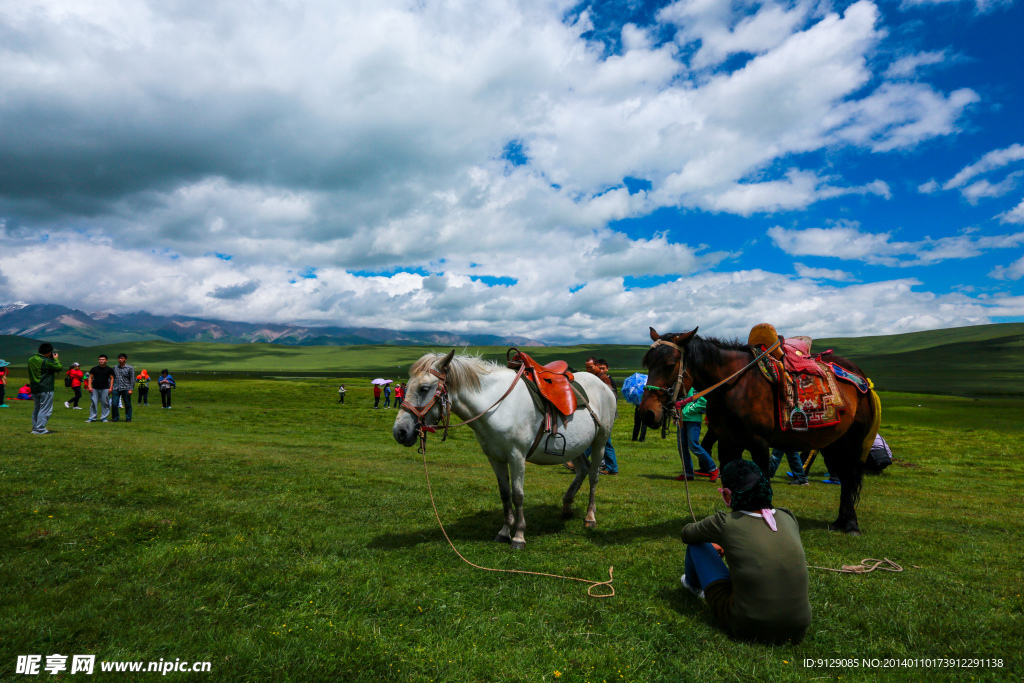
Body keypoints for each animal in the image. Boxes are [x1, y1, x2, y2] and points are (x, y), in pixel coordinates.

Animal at [391, 352, 614, 548]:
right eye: (407, 385)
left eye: (424, 388)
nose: (400, 432)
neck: (495, 406)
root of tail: (604, 386)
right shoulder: (495, 458)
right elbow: (505, 494)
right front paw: (505, 532)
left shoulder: (517, 457)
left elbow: (518, 495)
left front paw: (519, 537)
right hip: (575, 447)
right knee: (582, 469)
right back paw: (566, 507)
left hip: (600, 441)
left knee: (593, 476)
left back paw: (590, 518)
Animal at [638, 327, 880, 536]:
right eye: (648, 363)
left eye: (670, 364)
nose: (647, 413)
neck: (734, 385)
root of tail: (861, 377)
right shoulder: (728, 443)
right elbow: (730, 483)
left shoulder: (759, 444)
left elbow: (763, 481)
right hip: (831, 441)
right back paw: (839, 521)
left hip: (852, 441)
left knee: (848, 478)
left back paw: (851, 524)